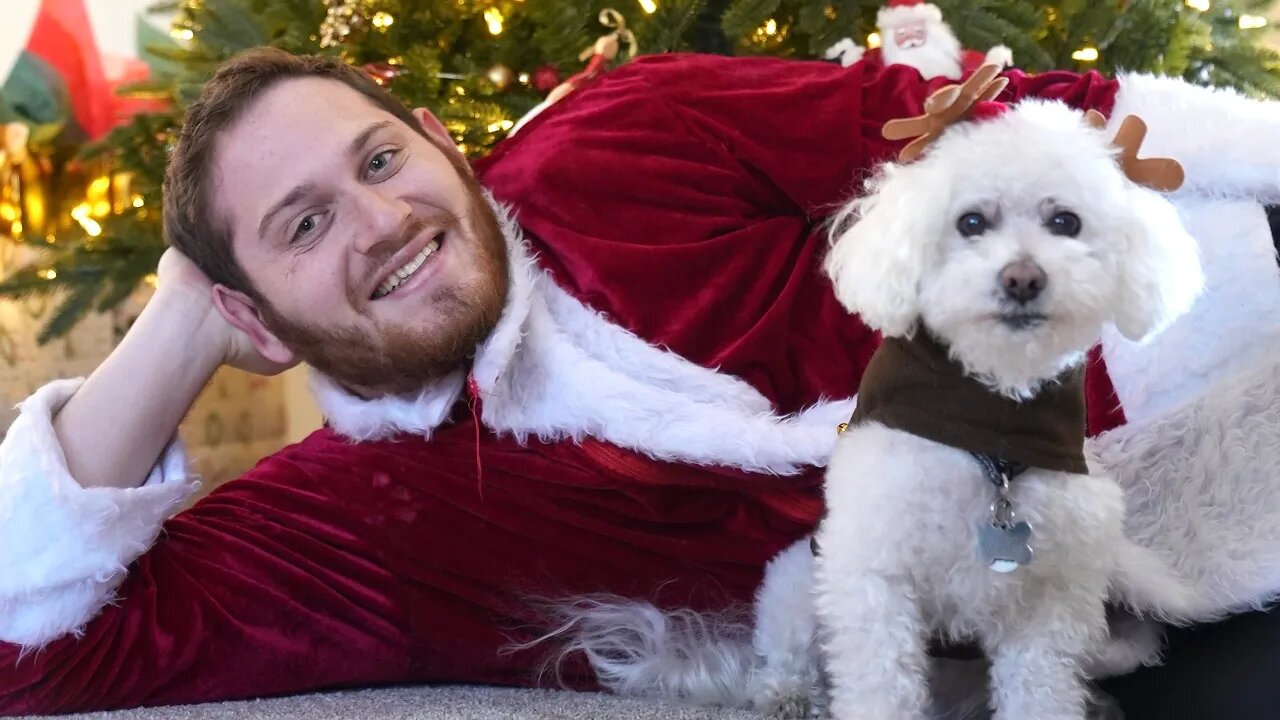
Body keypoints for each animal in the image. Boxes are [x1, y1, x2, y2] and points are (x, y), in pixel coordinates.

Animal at [803, 68, 1203, 717]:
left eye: (1066, 222)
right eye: (970, 222)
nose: (1022, 279)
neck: (993, 426)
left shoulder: (1050, 602)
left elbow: (1042, 689)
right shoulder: (875, 576)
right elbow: (881, 682)